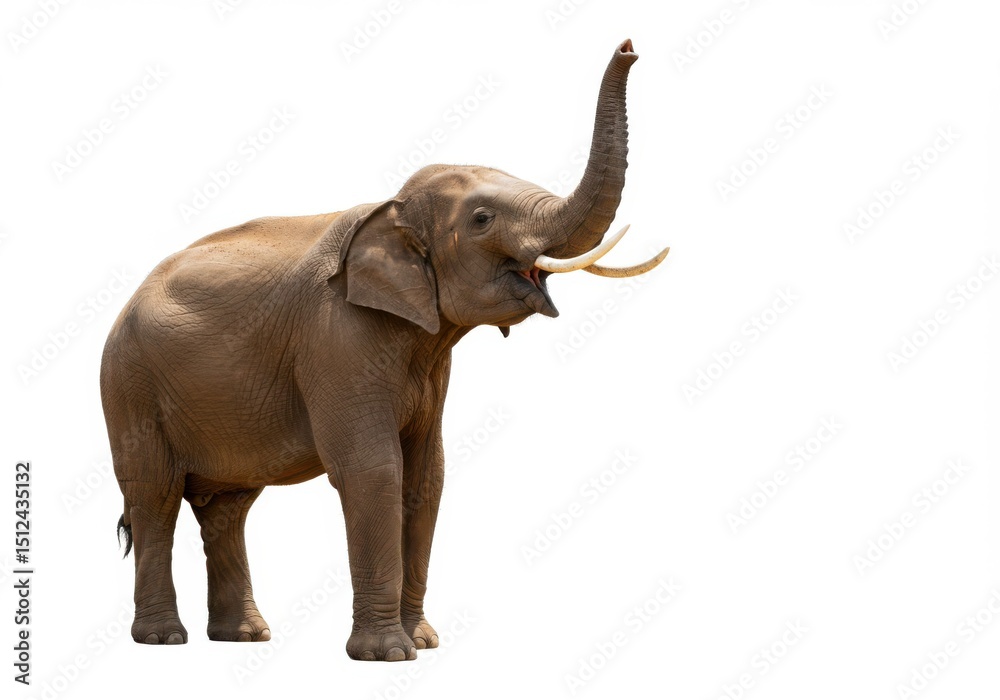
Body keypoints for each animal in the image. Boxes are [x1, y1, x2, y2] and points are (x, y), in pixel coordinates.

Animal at [100, 38, 667, 661]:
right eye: (482, 218)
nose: (629, 46)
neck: (390, 207)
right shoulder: (337, 340)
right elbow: (373, 470)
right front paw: (389, 654)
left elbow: (426, 477)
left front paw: (424, 643)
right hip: (129, 384)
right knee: (155, 496)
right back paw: (164, 639)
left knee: (227, 508)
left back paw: (245, 637)